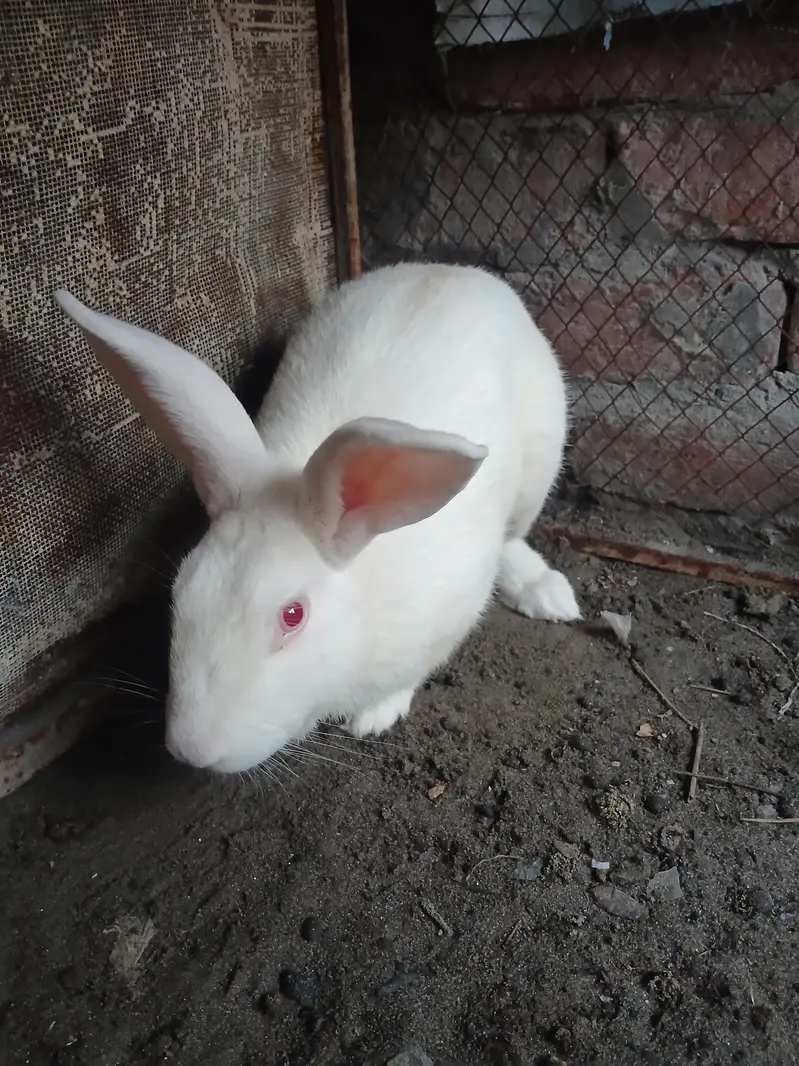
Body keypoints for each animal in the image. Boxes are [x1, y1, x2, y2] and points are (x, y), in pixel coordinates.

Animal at [54, 262, 580, 774]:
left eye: (293, 615)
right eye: (182, 589)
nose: (193, 751)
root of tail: (454, 271)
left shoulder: (451, 610)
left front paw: (374, 716)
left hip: (539, 464)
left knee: (514, 537)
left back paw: (546, 593)